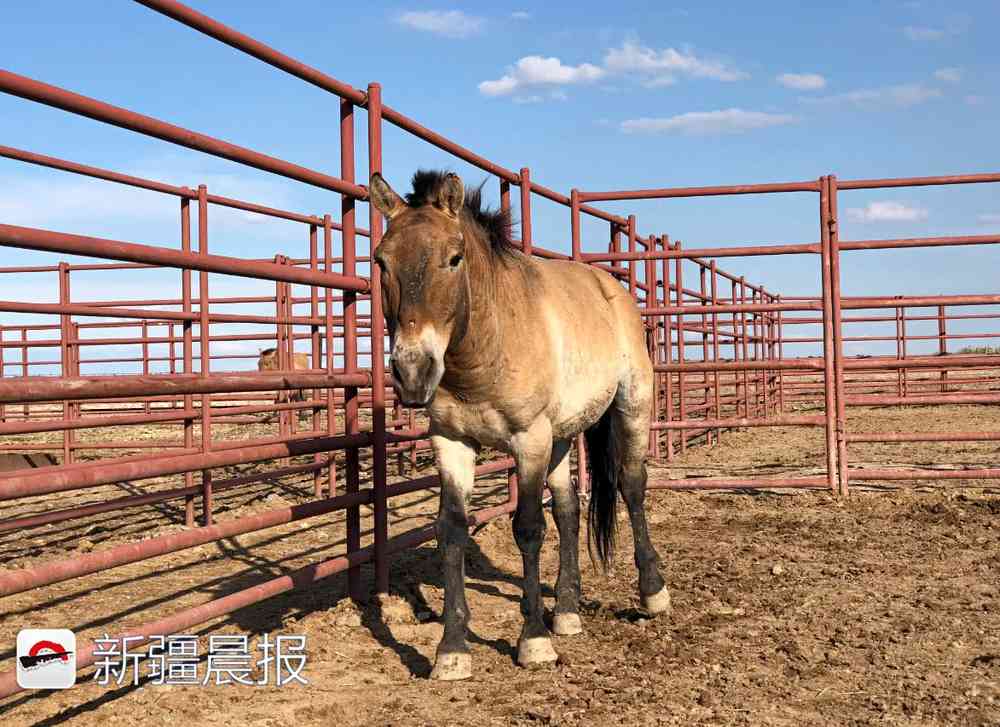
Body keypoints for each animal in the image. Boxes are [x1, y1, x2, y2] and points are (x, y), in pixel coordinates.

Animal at [370, 171, 672, 684]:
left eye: (454, 258)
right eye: (381, 261)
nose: (412, 373)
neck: (484, 351)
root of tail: (611, 287)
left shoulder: (528, 439)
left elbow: (528, 527)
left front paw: (533, 640)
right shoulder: (452, 442)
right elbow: (451, 529)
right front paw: (452, 649)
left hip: (631, 406)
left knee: (631, 486)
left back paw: (652, 592)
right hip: (563, 437)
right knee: (569, 510)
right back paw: (567, 611)